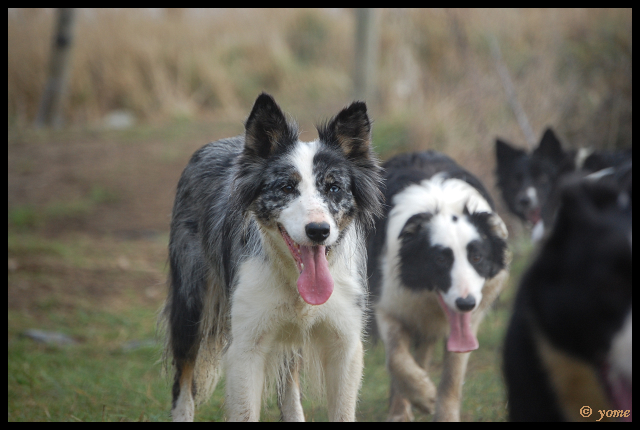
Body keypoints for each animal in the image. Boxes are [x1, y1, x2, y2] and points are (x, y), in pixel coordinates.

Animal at [162, 93, 382, 420]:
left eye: (334, 187)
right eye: (286, 187)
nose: (319, 231)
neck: (294, 279)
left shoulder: (344, 344)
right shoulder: (246, 346)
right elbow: (243, 410)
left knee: (289, 386)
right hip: (190, 305)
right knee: (183, 382)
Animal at [368, 151, 508, 420]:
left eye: (477, 258)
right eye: (440, 260)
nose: (465, 303)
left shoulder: (471, 317)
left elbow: (452, 376)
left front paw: (440, 411)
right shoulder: (390, 301)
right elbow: (396, 359)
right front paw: (422, 396)